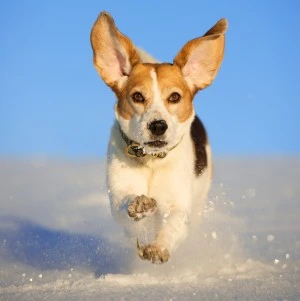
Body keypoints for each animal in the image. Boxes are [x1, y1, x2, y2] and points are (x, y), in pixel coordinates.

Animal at [90, 11, 226, 262]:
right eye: (137, 96)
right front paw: (139, 205)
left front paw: (158, 247)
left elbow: (173, 224)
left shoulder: (179, 204)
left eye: (174, 97)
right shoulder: (118, 196)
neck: (152, 160)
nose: (158, 126)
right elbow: (125, 207)